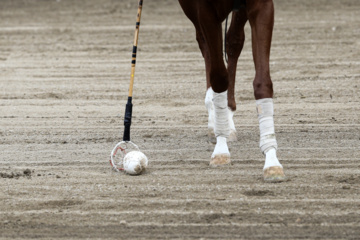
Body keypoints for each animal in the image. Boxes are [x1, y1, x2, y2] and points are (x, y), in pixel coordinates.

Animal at [179, 0, 286, 182]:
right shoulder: (204, 10)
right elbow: (219, 78)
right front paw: (221, 150)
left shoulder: (261, 6)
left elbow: (262, 83)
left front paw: (272, 161)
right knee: (204, 45)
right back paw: (213, 118)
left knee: (233, 40)